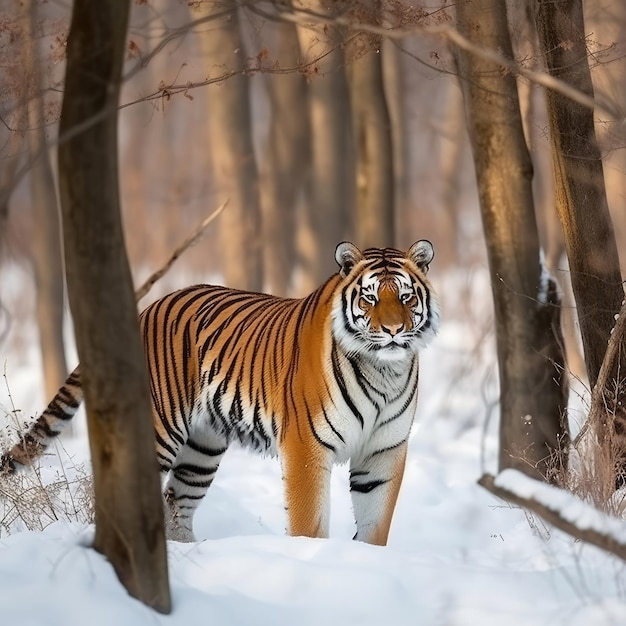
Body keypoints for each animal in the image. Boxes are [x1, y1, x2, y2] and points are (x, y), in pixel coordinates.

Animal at [1, 241, 438, 544]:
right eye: (369, 297)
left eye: (405, 296)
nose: (393, 331)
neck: (384, 370)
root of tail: (146, 309)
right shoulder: (306, 447)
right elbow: (308, 522)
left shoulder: (383, 451)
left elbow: (375, 525)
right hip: (159, 431)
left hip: (202, 447)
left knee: (176, 502)